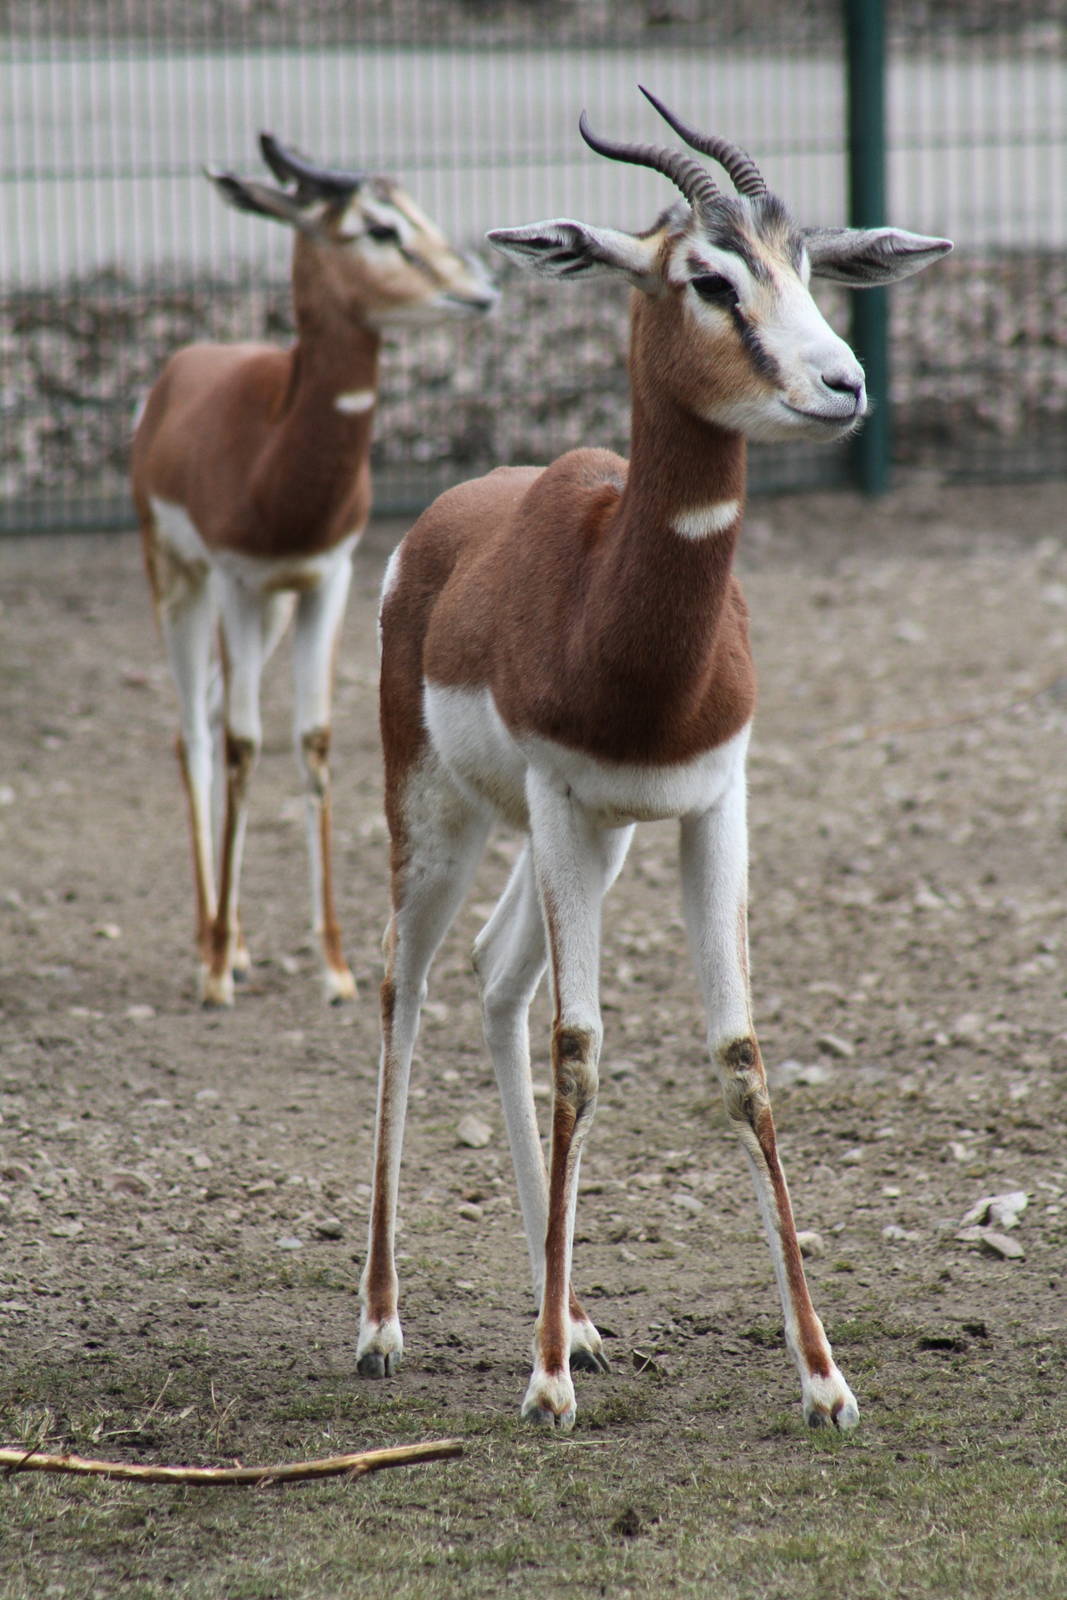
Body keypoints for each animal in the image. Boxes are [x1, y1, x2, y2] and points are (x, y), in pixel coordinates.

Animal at [131, 136, 497, 1007]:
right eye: (376, 228)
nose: (478, 290)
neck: (276, 452)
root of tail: (178, 372)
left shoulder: (323, 579)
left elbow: (313, 740)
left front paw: (332, 966)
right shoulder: (236, 580)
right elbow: (242, 744)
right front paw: (216, 969)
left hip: (266, 612)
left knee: (221, 713)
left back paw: (240, 943)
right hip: (180, 583)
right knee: (196, 732)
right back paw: (211, 945)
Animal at [356, 90, 951, 1430]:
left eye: (809, 269)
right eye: (709, 279)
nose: (842, 384)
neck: (618, 619)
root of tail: (442, 521)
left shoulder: (708, 802)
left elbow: (738, 1058)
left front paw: (823, 1379)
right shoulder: (558, 799)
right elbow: (581, 1052)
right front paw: (539, 1386)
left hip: (596, 838)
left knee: (495, 977)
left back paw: (572, 1315)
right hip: (446, 817)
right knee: (406, 990)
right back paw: (381, 1324)